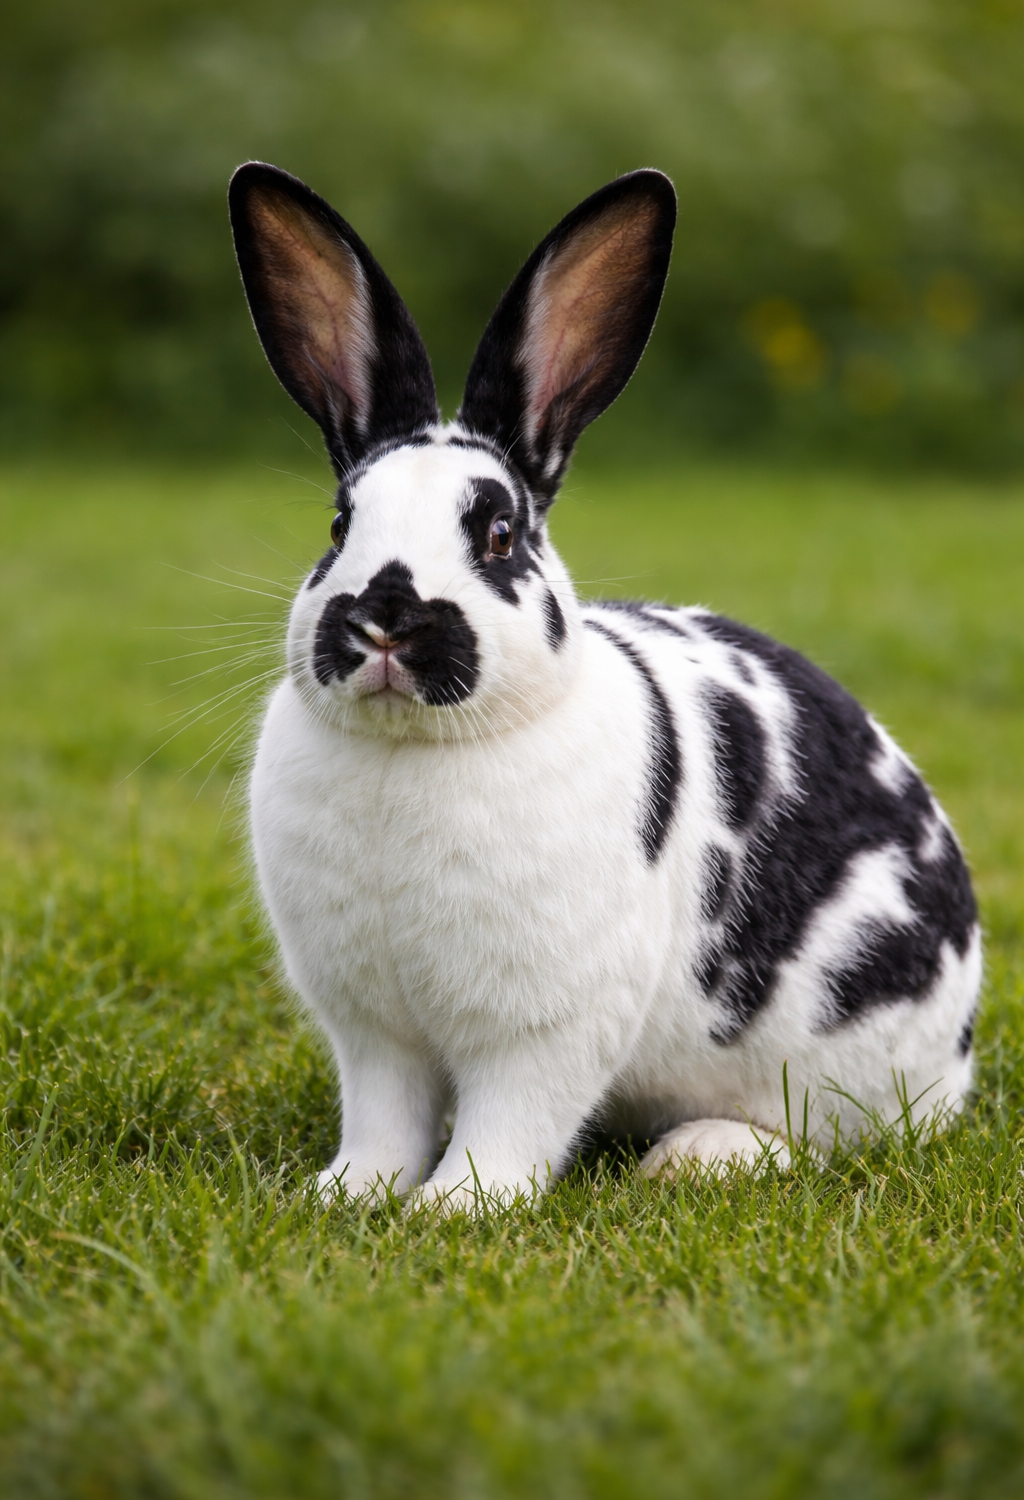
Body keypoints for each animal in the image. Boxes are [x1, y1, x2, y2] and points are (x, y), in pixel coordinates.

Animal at [228, 161, 981, 1207]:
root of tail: (960, 1055)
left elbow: (511, 1120)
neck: (413, 752)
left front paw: (455, 1210)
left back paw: (699, 1157)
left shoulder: (547, 1027)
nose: (384, 618)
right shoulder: (374, 1033)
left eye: (499, 533)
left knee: (830, 1136)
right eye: (340, 525)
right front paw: (349, 1196)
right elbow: (385, 1121)